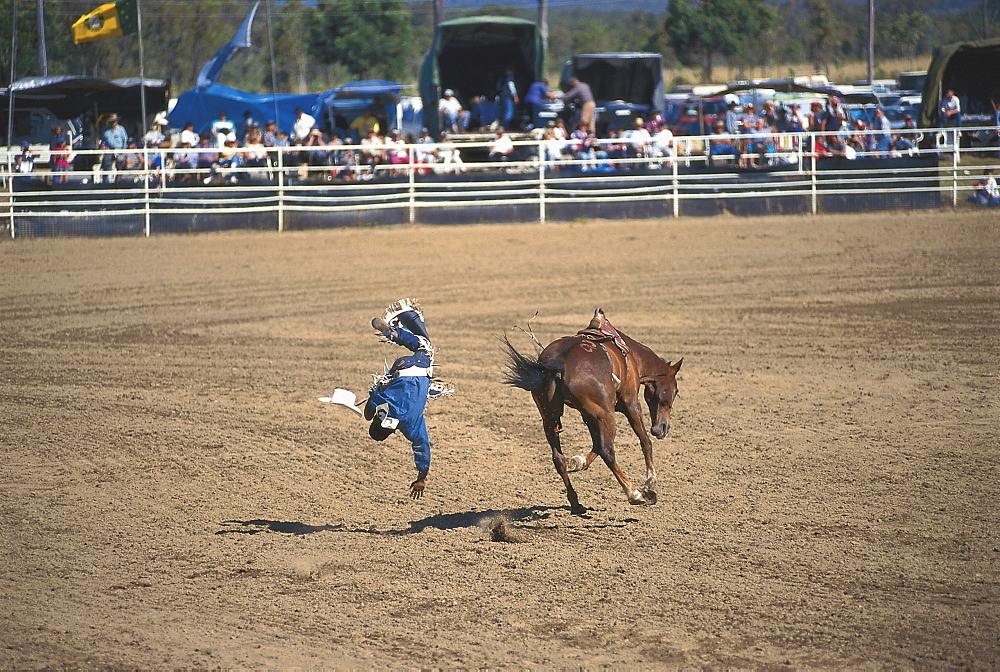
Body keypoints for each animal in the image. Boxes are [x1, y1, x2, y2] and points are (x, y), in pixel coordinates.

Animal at [504, 310, 684, 516]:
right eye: (675, 391)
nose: (662, 429)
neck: (632, 358)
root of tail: (558, 361)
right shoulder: (631, 404)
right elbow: (644, 442)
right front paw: (651, 486)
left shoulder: (588, 415)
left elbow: (595, 444)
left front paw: (579, 461)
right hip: (606, 415)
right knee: (608, 451)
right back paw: (634, 493)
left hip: (550, 417)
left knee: (559, 458)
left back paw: (576, 503)